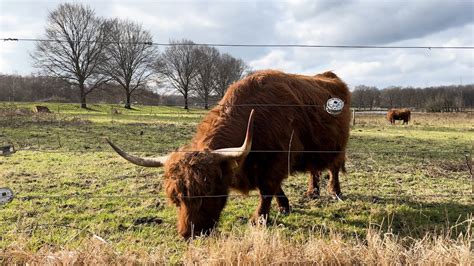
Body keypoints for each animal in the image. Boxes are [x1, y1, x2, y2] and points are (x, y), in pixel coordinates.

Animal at [108, 69, 352, 238]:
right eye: (175, 198)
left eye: (208, 192)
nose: (189, 234)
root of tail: (331, 77)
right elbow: (275, 189)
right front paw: (284, 206)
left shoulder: (277, 161)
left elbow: (267, 190)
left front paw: (259, 219)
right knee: (314, 169)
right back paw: (312, 192)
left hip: (337, 145)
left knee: (333, 168)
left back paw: (335, 192)